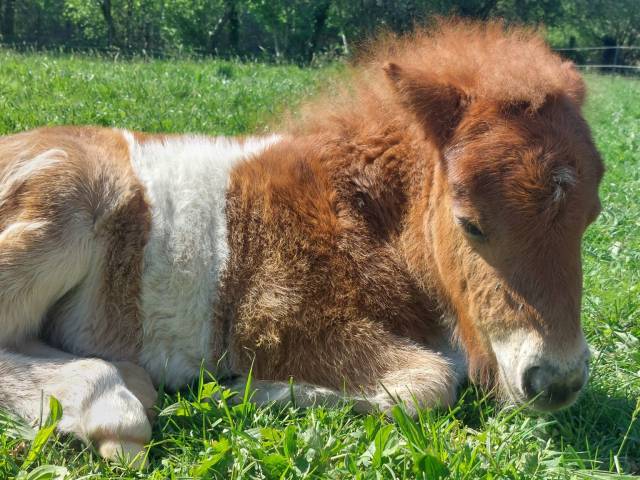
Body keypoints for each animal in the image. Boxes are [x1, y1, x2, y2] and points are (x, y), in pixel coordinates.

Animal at [0, 20, 603, 462]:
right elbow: (430, 384)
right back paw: (112, 408)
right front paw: (248, 390)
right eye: (470, 222)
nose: (557, 380)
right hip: (59, 208)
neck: (356, 212)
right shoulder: (284, 323)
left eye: (590, 217)